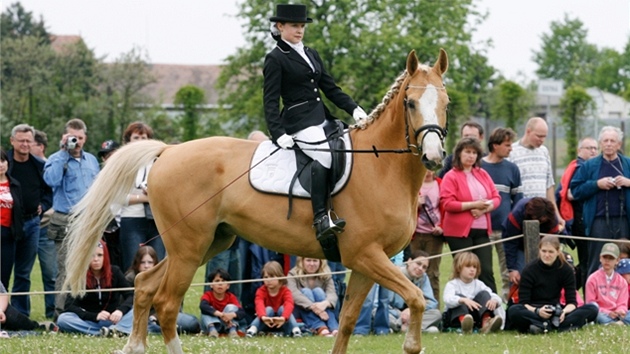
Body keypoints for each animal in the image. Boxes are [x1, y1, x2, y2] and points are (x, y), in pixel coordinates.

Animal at [64, 48, 450, 352]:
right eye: (410, 103)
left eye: (445, 103)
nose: (433, 157)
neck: (380, 166)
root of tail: (168, 151)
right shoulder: (366, 255)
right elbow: (415, 299)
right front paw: (412, 344)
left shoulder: (366, 262)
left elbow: (348, 321)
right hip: (189, 248)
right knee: (167, 304)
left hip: (205, 243)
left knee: (144, 286)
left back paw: (134, 346)